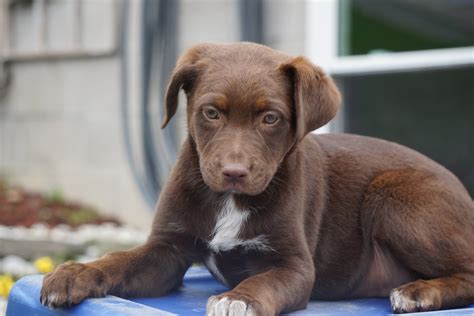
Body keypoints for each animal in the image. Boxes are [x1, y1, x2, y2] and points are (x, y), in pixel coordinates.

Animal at [41, 42, 474, 316]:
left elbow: (265, 282)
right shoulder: (166, 250)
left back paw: (418, 292)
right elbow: (120, 261)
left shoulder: (295, 266)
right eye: (210, 112)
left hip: (393, 195)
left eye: (271, 118)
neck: (228, 200)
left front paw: (240, 299)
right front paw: (76, 273)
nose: (234, 172)